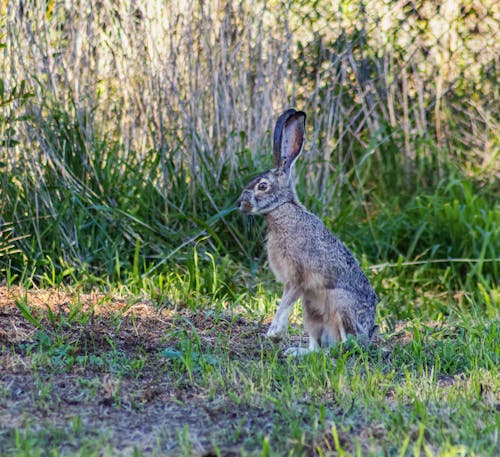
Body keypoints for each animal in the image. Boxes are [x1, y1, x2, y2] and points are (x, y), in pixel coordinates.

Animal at [236, 108, 376, 354]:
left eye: (262, 186)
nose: (239, 204)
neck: (282, 211)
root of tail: (369, 335)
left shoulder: (297, 277)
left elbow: (284, 304)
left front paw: (274, 333)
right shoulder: (294, 284)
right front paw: (275, 336)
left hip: (339, 303)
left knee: (345, 345)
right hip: (311, 309)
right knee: (317, 346)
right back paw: (298, 353)